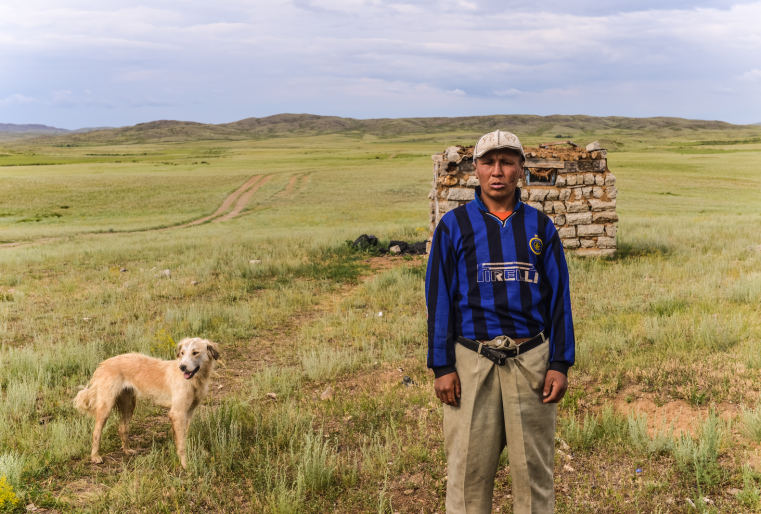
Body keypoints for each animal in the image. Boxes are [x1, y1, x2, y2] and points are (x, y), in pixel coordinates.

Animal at [74, 338, 220, 466]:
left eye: (195, 352)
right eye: (183, 353)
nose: (182, 367)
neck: (195, 381)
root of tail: (104, 363)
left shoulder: (188, 412)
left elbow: (184, 437)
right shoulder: (177, 413)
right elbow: (181, 443)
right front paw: (184, 464)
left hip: (129, 404)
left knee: (122, 428)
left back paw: (127, 451)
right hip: (106, 406)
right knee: (96, 432)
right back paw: (95, 457)